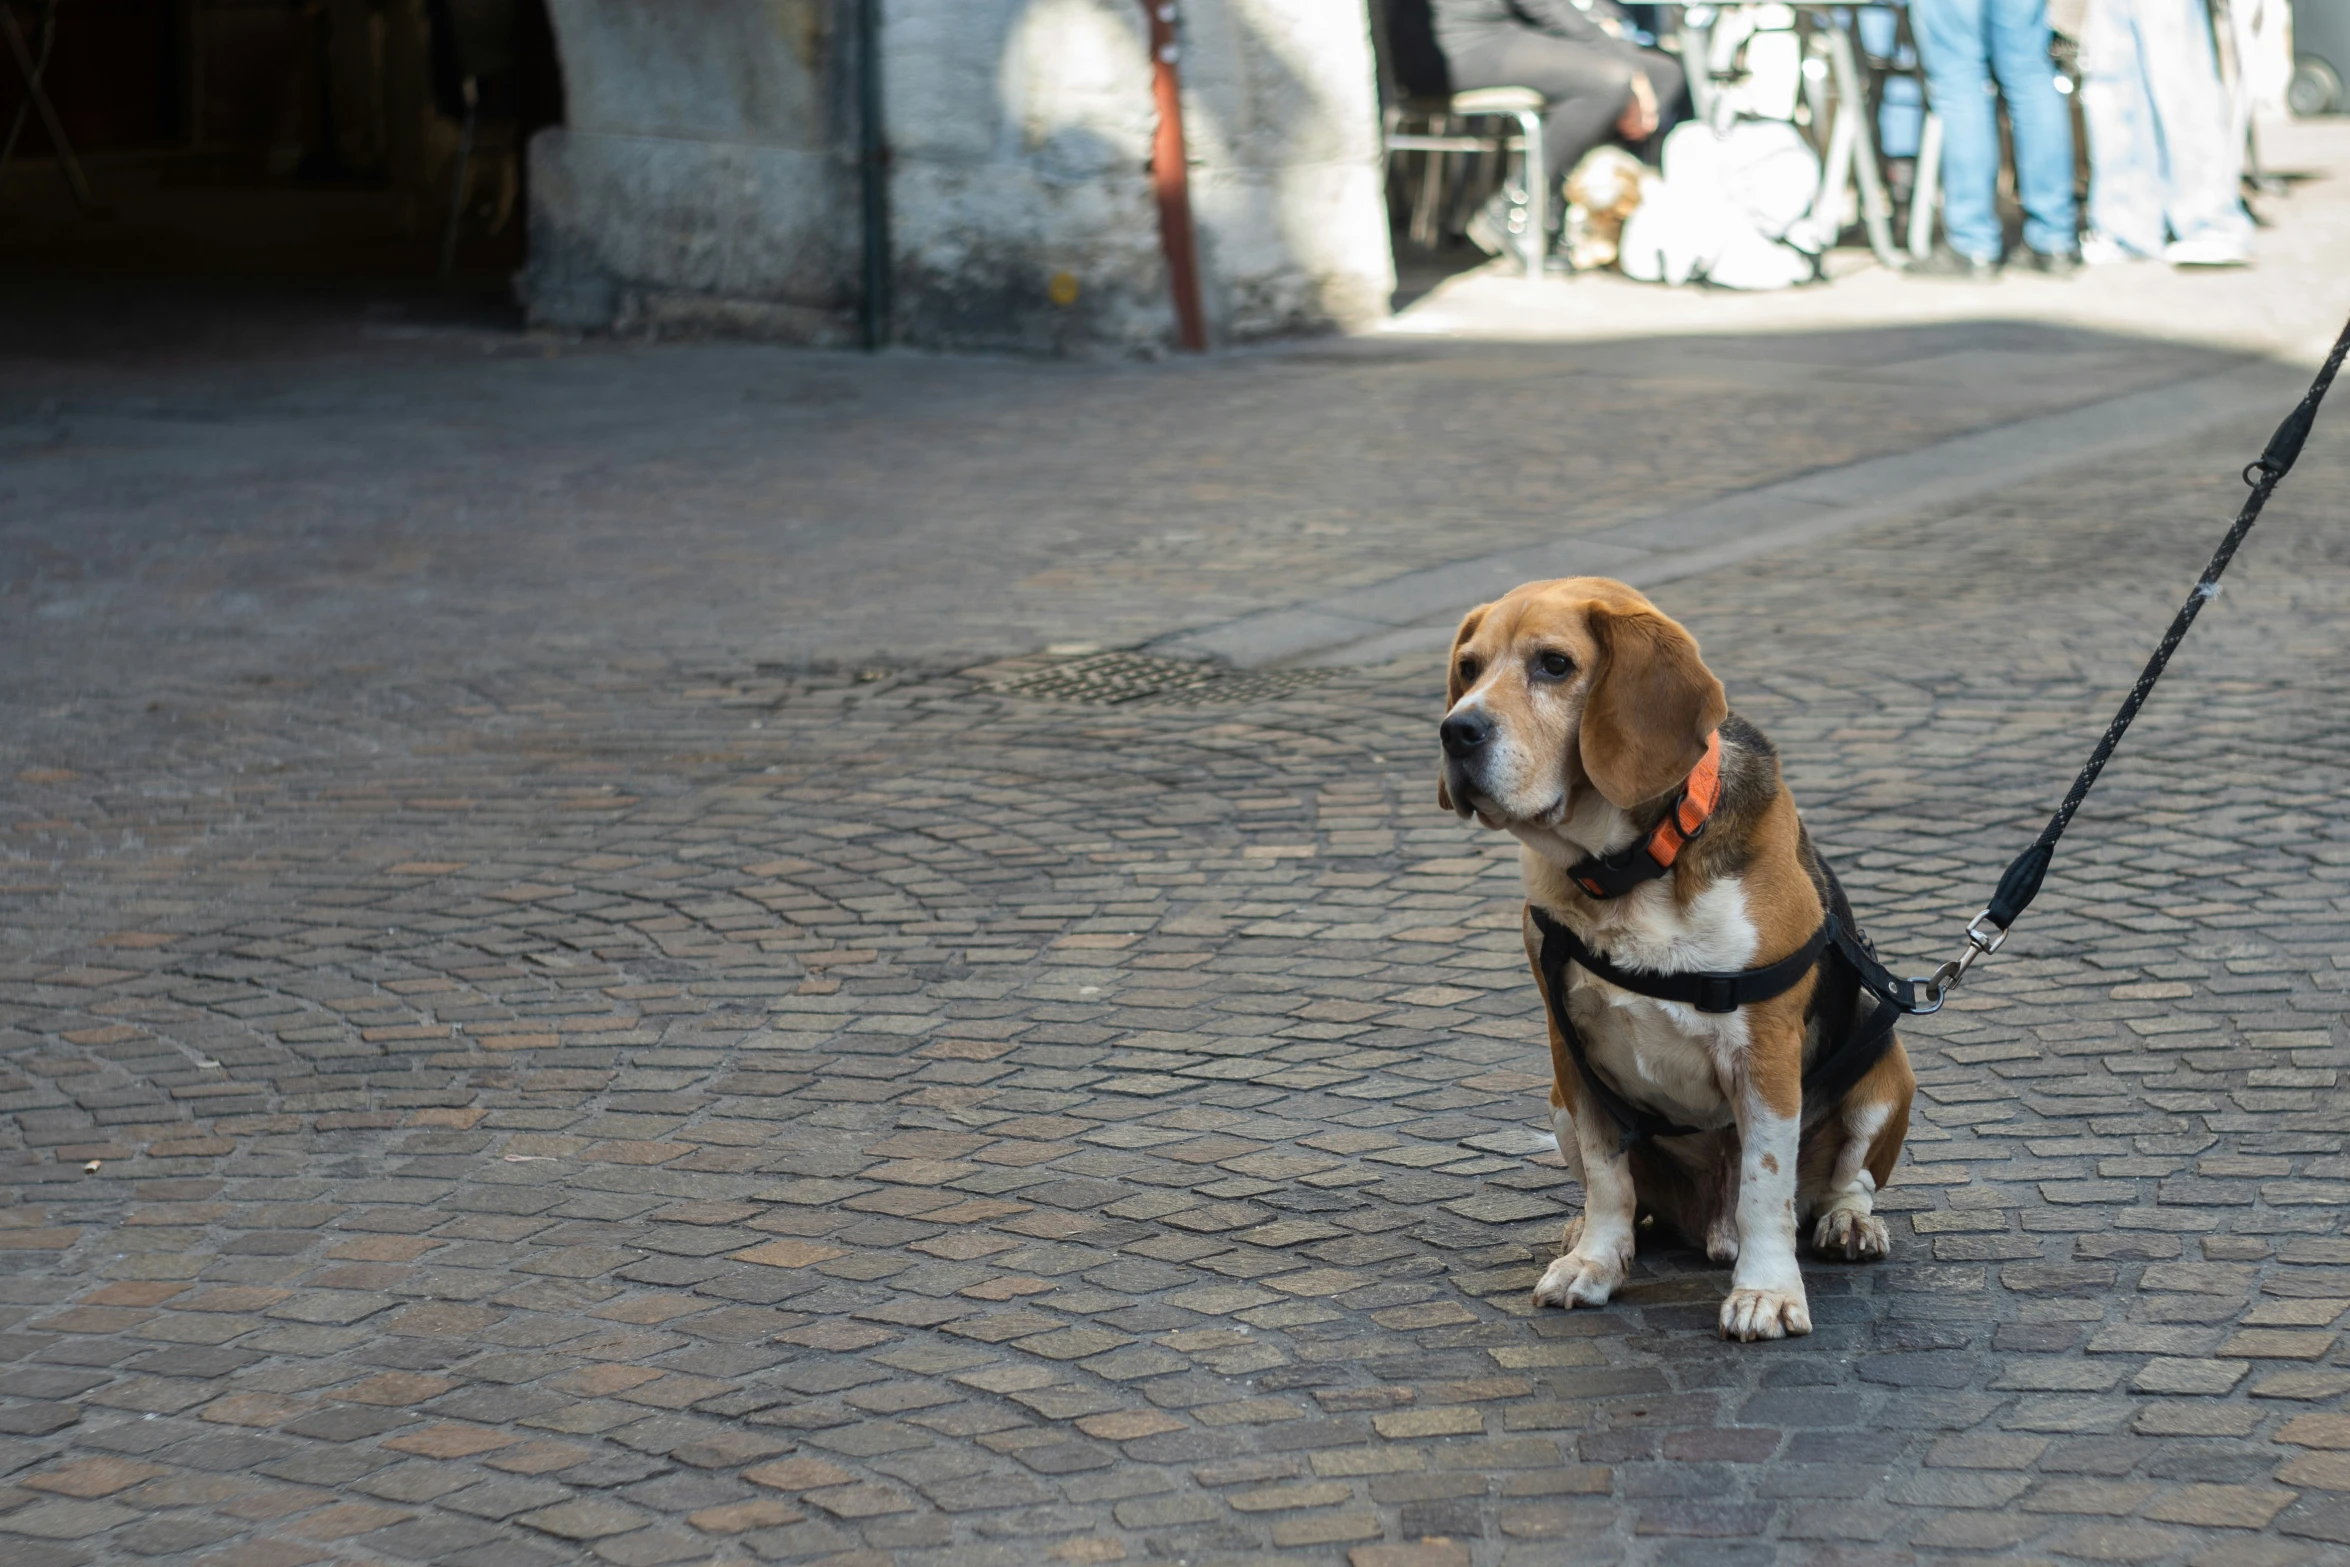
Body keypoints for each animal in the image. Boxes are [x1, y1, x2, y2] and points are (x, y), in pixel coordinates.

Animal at [1428, 582, 1908, 1343]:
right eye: (1468, 668)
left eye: (1555, 665)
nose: (1457, 731)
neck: (1627, 871)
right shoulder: (1570, 1048)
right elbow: (1607, 1175)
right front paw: (1595, 1261)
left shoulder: (1766, 1052)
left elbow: (1766, 1185)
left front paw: (1767, 1292)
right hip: (1557, 1100)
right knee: (1634, 1199)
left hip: (1886, 1061)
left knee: (1843, 1183)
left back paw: (1847, 1224)